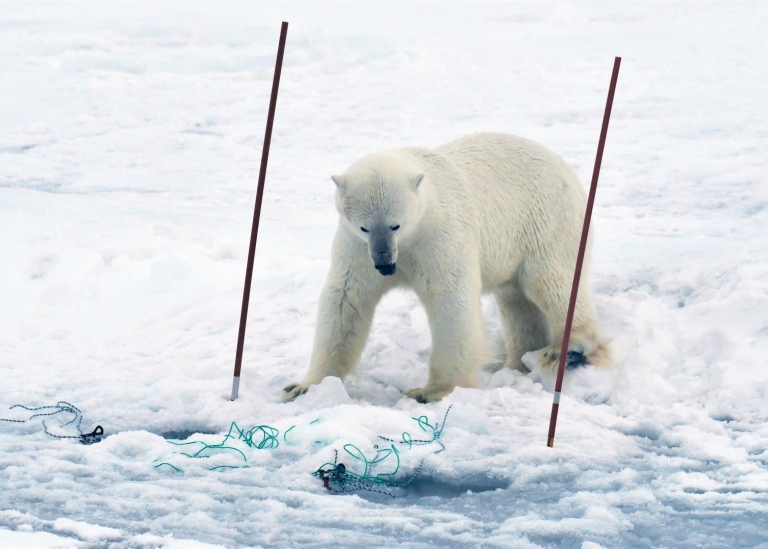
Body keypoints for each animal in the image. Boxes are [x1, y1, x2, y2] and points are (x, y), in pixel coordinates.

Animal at [282, 131, 612, 400]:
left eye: (395, 225)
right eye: (365, 227)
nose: (385, 264)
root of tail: (564, 166)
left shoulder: (440, 234)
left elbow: (450, 299)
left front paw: (431, 391)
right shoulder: (356, 247)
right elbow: (346, 298)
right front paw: (303, 386)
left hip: (546, 222)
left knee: (550, 281)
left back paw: (566, 349)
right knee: (516, 301)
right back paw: (519, 361)